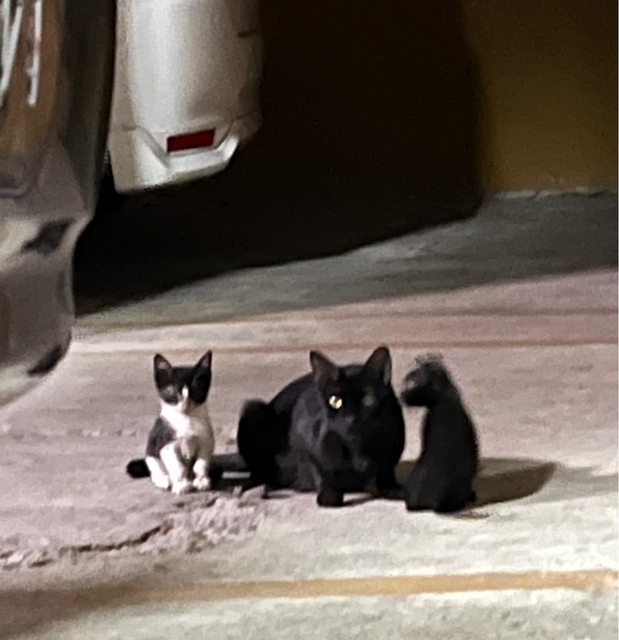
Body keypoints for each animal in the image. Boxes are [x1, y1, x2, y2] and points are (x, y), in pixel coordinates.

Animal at [126, 351, 215, 495]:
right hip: (151, 451)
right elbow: (177, 466)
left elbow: (201, 463)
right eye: (173, 392)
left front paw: (202, 480)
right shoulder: (166, 442)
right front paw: (182, 485)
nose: (185, 403)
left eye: (195, 391)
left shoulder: (206, 440)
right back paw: (163, 479)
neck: (186, 419)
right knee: (155, 468)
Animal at [237, 346, 406, 507]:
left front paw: (389, 487)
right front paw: (329, 495)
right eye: (335, 401)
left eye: (368, 400)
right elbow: (322, 472)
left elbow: (385, 471)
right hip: (253, 411)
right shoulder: (304, 437)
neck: (356, 448)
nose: (350, 419)